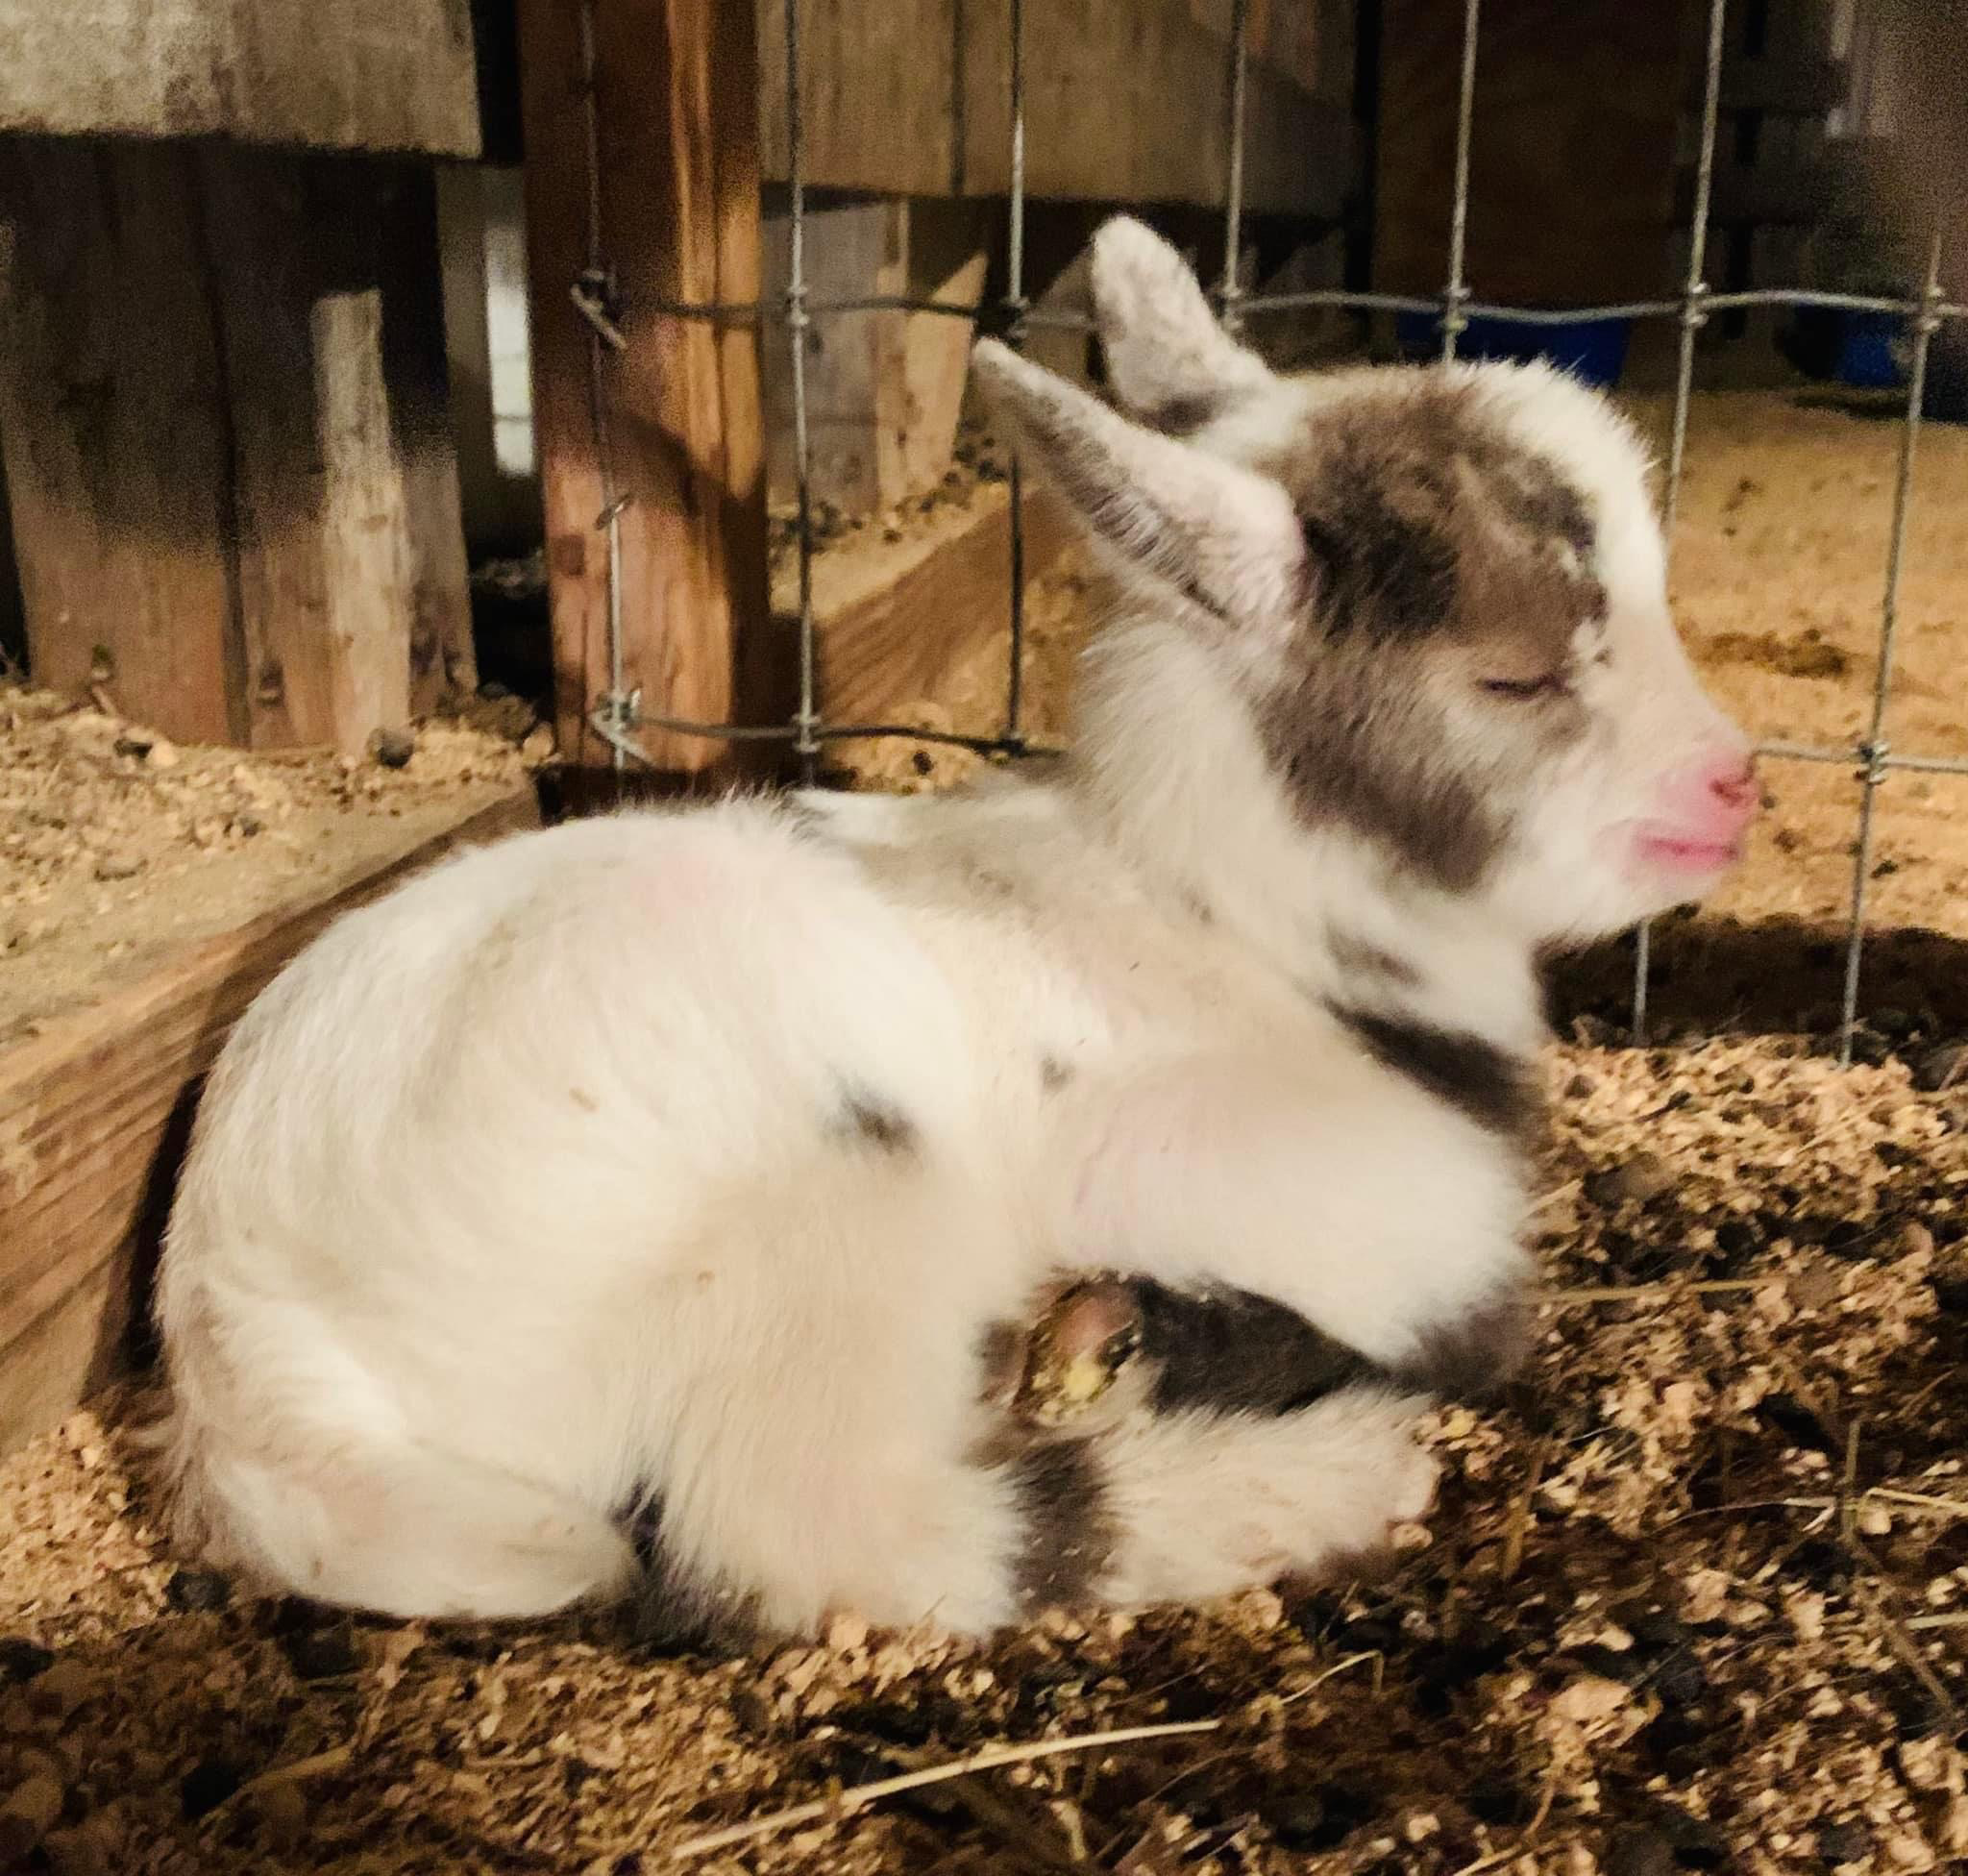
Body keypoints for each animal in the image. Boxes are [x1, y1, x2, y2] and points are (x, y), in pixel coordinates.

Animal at [155, 219, 1755, 1645]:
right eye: (1514, 675)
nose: (1732, 784)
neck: (1238, 934)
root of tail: (255, 1359)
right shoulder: (1363, 1220)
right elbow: (1472, 1322)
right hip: (828, 1181)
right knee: (809, 1528)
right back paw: (1311, 1479)